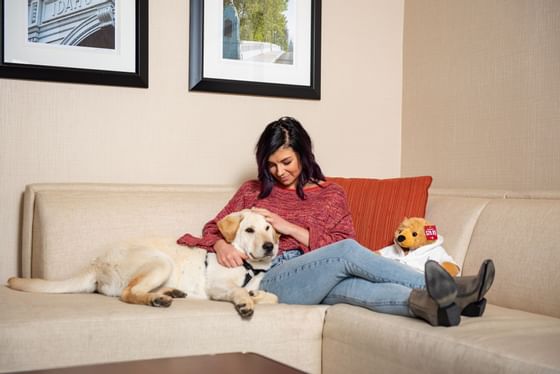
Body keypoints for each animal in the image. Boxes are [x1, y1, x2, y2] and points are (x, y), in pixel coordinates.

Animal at [8, 209, 280, 318]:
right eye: (249, 230)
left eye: (268, 229)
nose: (270, 246)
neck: (250, 267)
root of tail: (96, 262)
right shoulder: (218, 286)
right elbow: (238, 291)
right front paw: (246, 301)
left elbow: (274, 297)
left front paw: (256, 295)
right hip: (160, 262)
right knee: (128, 293)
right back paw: (156, 299)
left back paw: (169, 293)